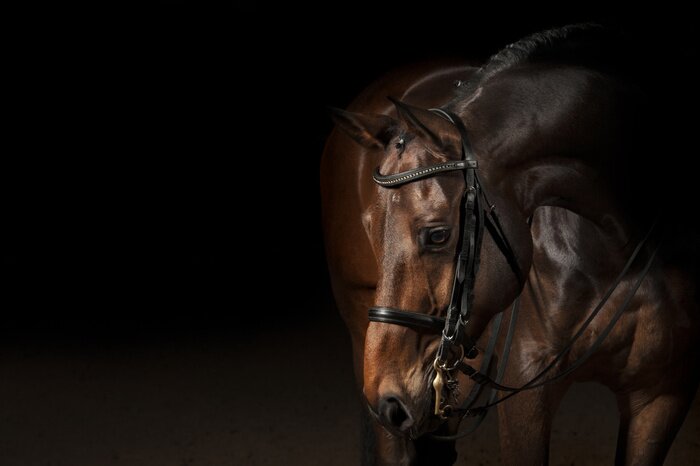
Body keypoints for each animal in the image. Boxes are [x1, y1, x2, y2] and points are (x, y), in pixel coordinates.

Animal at [321, 24, 699, 465]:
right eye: (371, 227)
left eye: (437, 234)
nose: (388, 397)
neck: (619, 244)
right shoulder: (525, 390)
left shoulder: (662, 395)